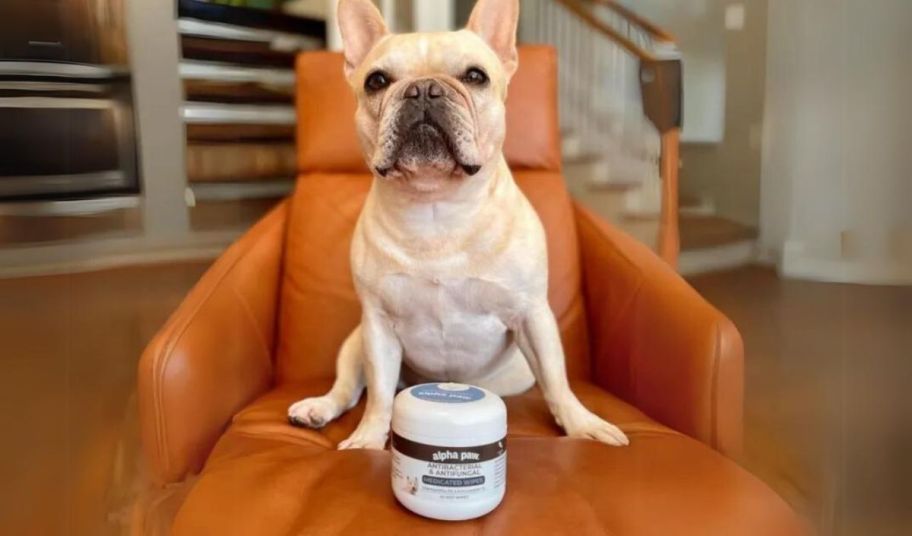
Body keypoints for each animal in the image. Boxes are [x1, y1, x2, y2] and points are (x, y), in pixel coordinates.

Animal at [286, 0, 628, 450]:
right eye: (377, 81)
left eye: (475, 76)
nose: (422, 89)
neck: (437, 205)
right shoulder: (377, 326)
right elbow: (378, 394)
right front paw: (368, 440)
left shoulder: (531, 315)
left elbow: (557, 380)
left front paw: (581, 423)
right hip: (354, 342)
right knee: (348, 387)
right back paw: (318, 408)